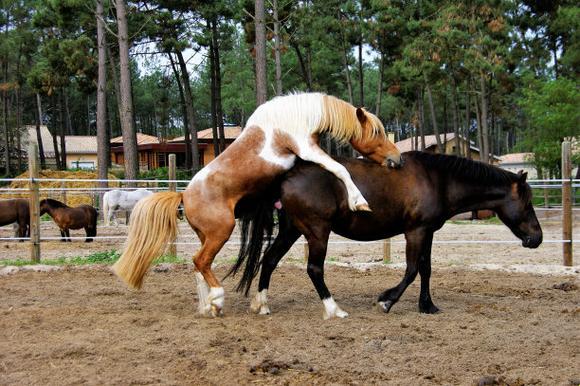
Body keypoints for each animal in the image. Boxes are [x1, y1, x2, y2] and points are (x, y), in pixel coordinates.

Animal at [113, 92, 404, 316]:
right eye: (376, 132)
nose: (397, 160)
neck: (294, 117)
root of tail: (183, 197)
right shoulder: (307, 149)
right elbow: (339, 168)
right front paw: (360, 202)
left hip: (206, 236)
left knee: (198, 266)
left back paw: (209, 306)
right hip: (221, 232)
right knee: (200, 261)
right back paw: (217, 298)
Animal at [230, 152, 544, 318]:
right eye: (527, 202)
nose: (537, 238)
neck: (438, 180)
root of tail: (288, 176)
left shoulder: (428, 232)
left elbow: (426, 269)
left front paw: (427, 305)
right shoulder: (415, 232)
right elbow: (412, 270)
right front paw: (386, 300)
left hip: (292, 230)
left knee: (269, 260)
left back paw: (262, 304)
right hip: (317, 232)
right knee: (314, 268)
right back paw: (334, 309)